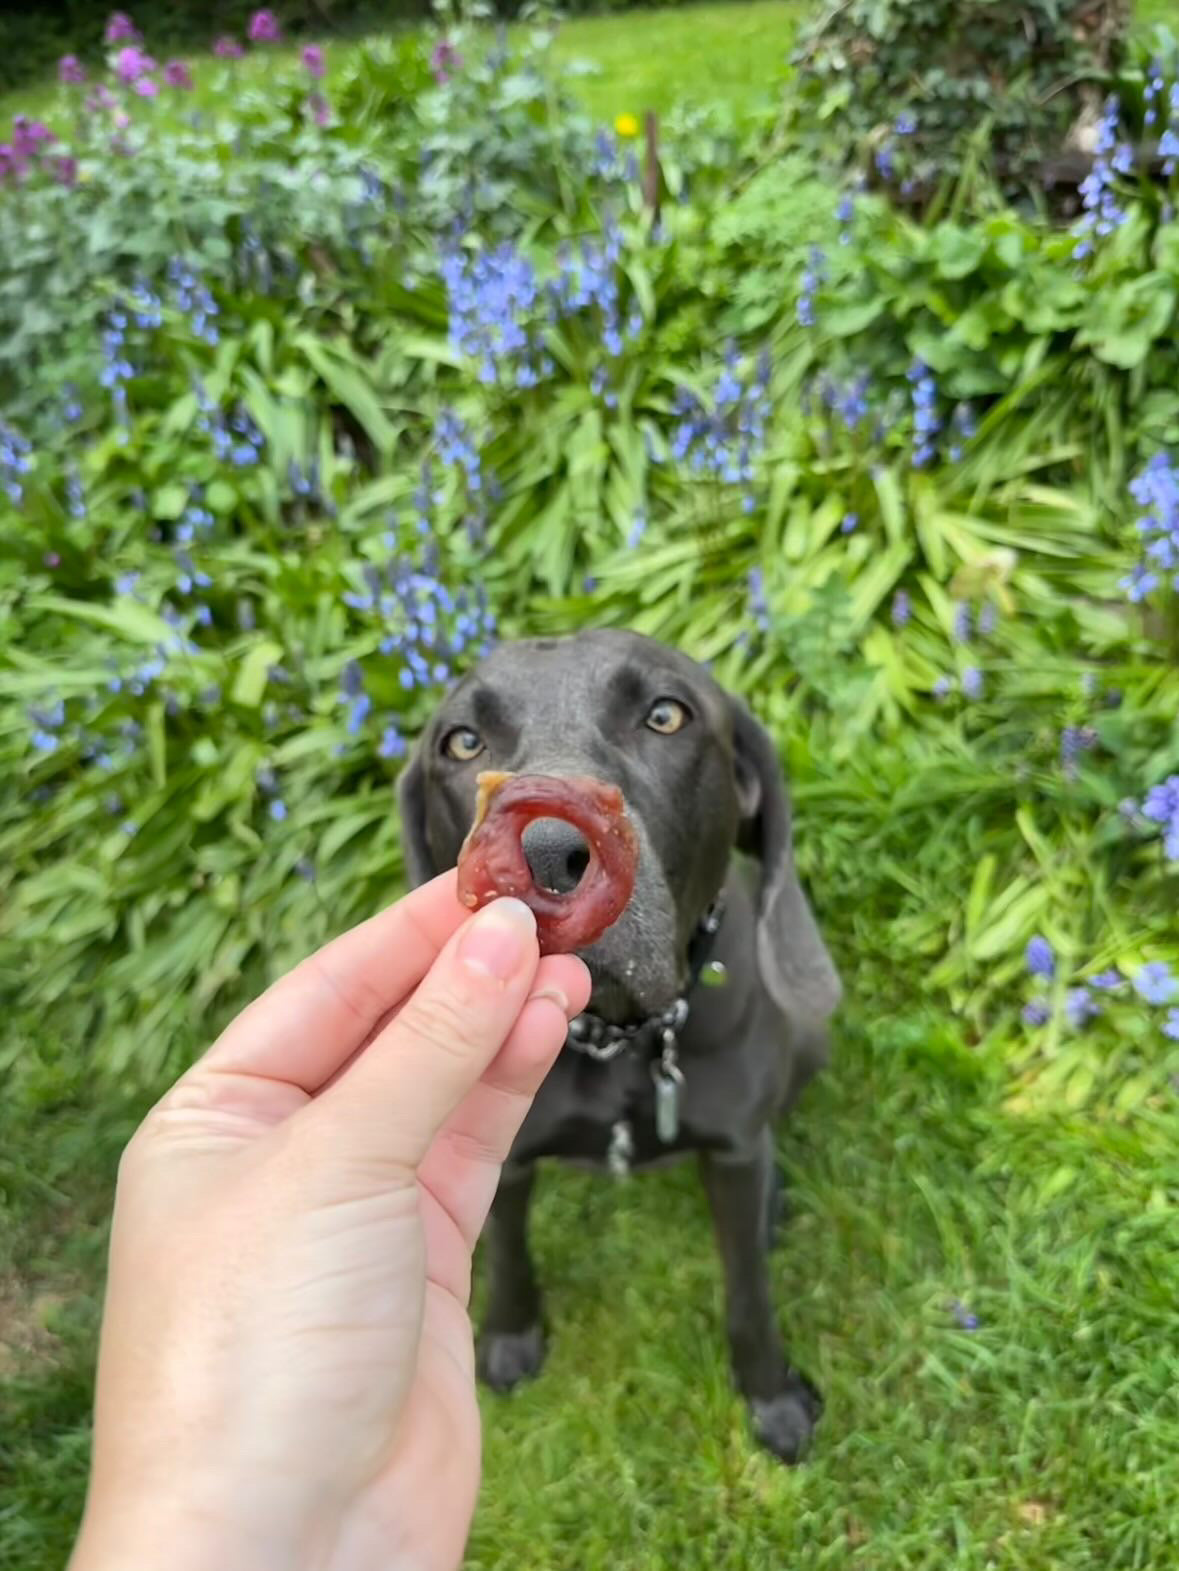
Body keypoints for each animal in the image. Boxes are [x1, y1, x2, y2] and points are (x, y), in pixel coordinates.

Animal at [402, 625, 842, 1457]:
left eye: (665, 715)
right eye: (463, 740)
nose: (545, 855)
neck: (616, 1038)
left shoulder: (731, 1148)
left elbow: (747, 1286)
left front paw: (770, 1397)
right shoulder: (504, 1151)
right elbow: (506, 1248)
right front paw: (508, 1339)